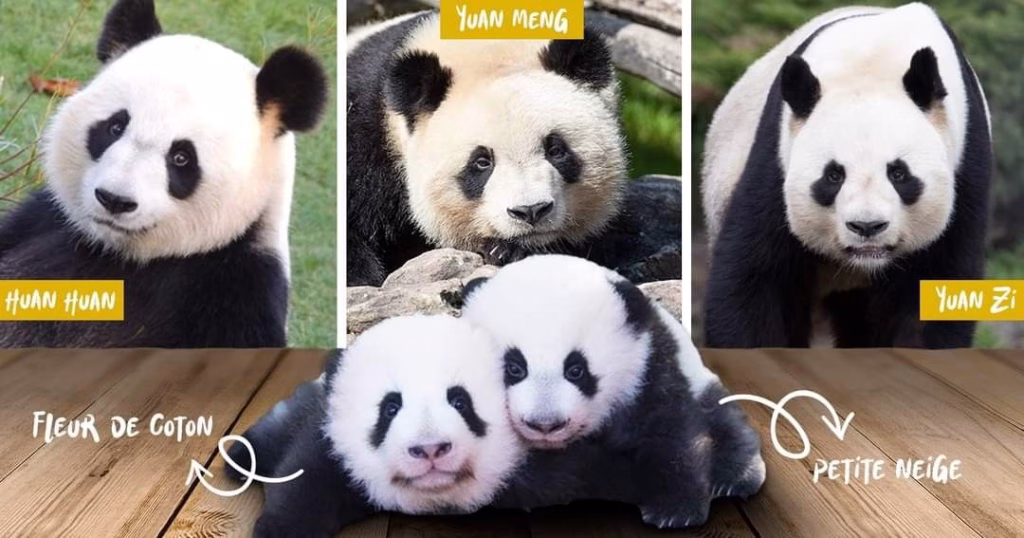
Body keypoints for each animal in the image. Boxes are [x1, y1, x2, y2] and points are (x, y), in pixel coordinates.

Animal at [0, 0, 327, 347]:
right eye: (115, 127)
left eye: (182, 158)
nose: (115, 200)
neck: (120, 255)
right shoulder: (41, 222)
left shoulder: (235, 292)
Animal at [233, 316, 525, 538]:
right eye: (390, 408)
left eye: (460, 402)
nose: (430, 449)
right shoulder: (333, 445)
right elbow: (303, 483)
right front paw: (280, 530)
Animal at [460, 255, 765, 528]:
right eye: (514, 368)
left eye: (576, 370)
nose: (545, 424)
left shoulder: (648, 368)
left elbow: (671, 432)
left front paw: (676, 511)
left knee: (724, 420)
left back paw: (735, 479)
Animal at [701, 3, 991, 348]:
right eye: (833, 176)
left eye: (898, 173)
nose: (867, 226)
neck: (875, 55)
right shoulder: (777, 156)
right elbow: (755, 276)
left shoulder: (965, 162)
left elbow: (935, 287)